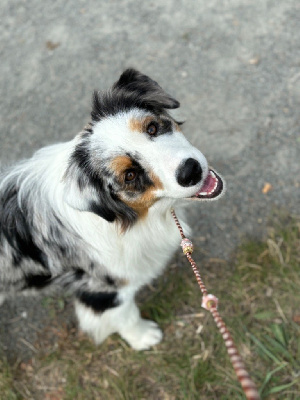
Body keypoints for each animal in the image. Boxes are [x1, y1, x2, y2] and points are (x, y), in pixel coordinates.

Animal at [0, 69, 224, 350]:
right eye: (129, 175)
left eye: (152, 127)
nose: (190, 170)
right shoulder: (102, 291)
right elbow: (126, 315)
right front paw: (144, 337)